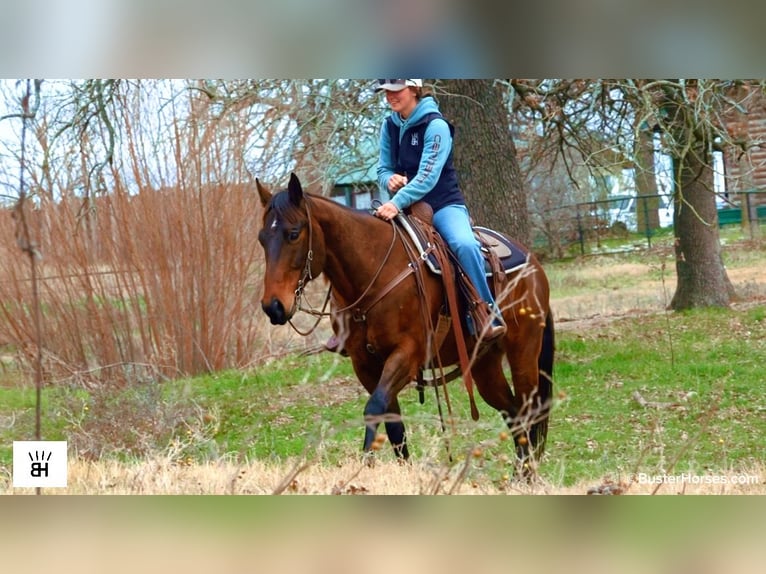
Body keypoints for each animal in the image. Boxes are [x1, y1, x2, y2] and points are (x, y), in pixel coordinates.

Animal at [256, 173, 554, 469]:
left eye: (294, 234)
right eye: (261, 239)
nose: (273, 306)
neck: (374, 272)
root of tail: (534, 265)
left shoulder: (408, 355)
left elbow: (374, 409)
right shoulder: (364, 364)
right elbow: (392, 422)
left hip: (523, 354)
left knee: (529, 412)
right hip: (484, 364)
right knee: (515, 415)